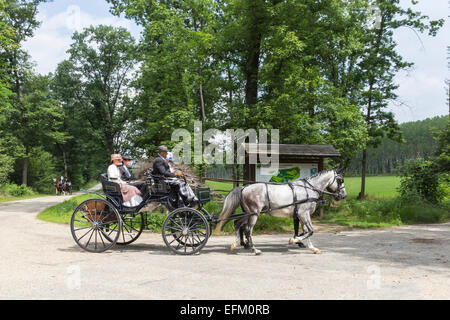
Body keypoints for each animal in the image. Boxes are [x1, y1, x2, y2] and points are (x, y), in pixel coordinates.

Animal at [214, 168, 348, 255]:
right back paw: (254, 249)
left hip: (248, 213)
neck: (308, 189)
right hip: (254, 214)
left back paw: (236, 244)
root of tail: (244, 187)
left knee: (237, 223)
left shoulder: (303, 215)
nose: (343, 195)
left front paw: (312, 248)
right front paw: (294, 240)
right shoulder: (303, 213)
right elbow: (310, 231)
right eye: (340, 180)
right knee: (248, 230)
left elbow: (307, 231)